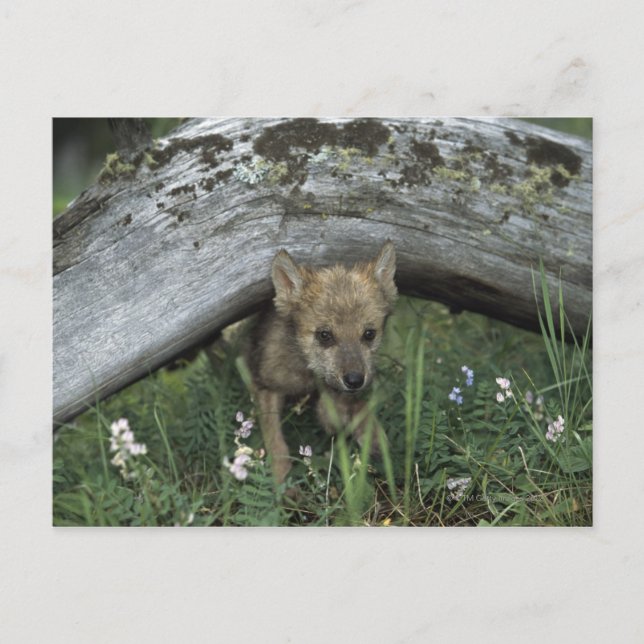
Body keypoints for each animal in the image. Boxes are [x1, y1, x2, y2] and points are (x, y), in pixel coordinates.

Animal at [247, 242, 398, 484]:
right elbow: (275, 442)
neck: (307, 374)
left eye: (369, 334)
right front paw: (282, 482)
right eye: (324, 335)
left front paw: (372, 435)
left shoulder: (335, 391)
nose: (355, 380)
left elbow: (349, 407)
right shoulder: (266, 385)